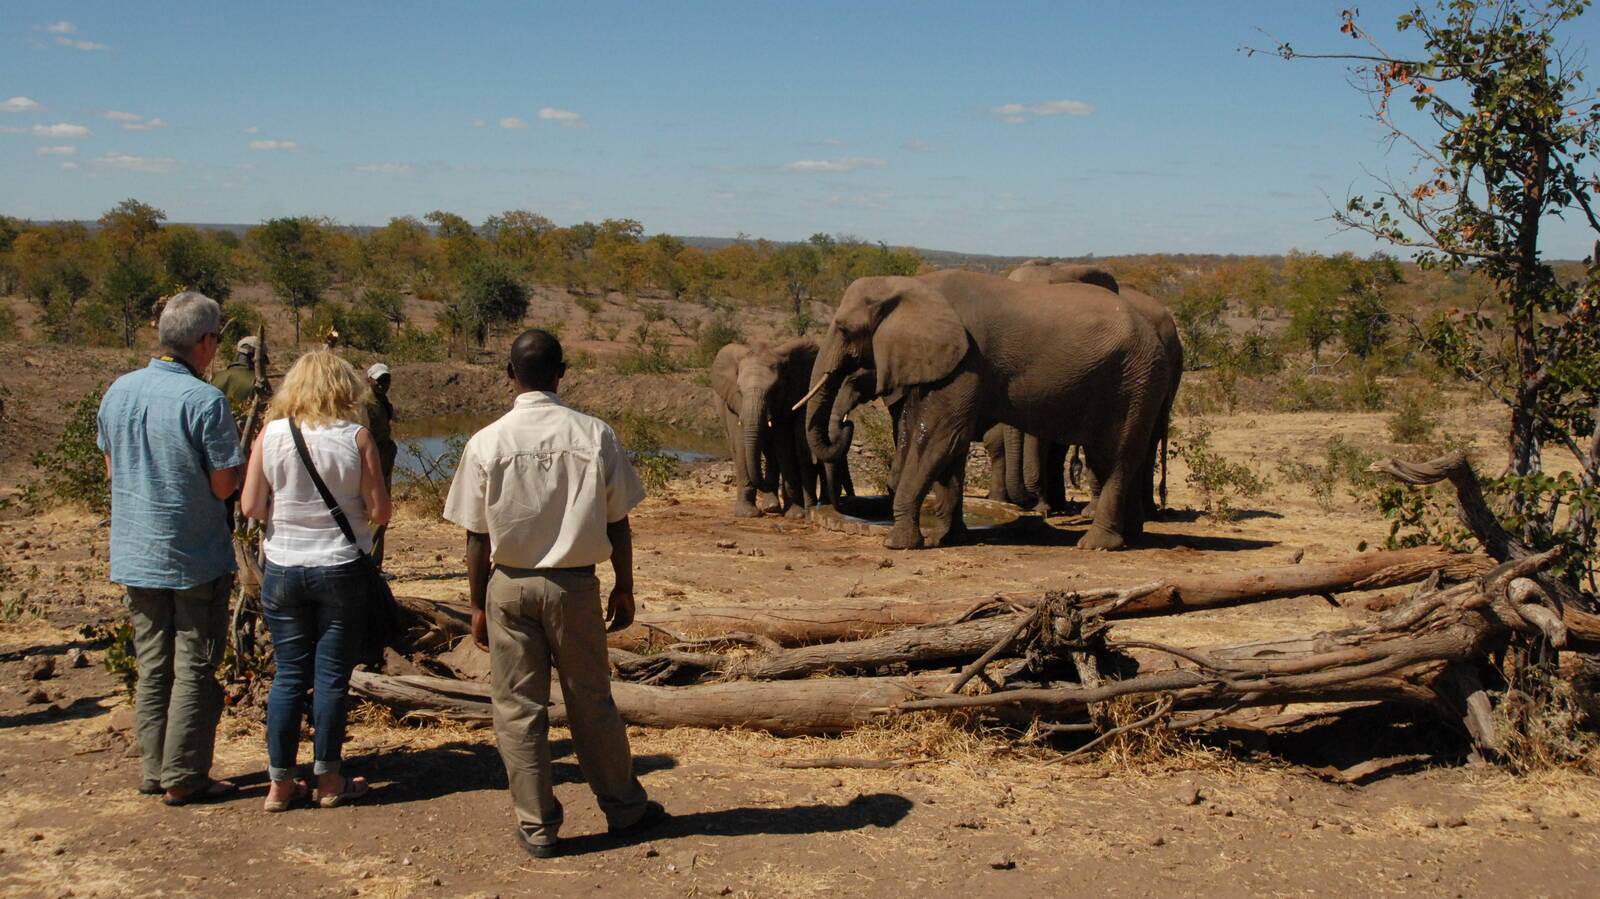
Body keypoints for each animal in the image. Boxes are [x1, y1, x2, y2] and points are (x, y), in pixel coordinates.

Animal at [716, 335, 825, 518]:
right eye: (739, 390)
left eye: (776, 389)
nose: (764, 485)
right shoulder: (733, 404)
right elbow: (741, 442)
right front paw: (747, 514)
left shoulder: (789, 398)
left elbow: (784, 443)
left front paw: (795, 515)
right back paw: (771, 506)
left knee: (774, 453)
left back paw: (772, 506)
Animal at [806, 267, 1171, 547]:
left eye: (843, 328)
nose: (847, 424)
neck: (913, 285)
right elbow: (948, 445)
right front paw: (946, 538)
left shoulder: (967, 362)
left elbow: (939, 436)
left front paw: (897, 543)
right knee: (1113, 456)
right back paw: (1131, 537)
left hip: (1133, 378)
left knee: (1117, 456)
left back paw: (1097, 545)